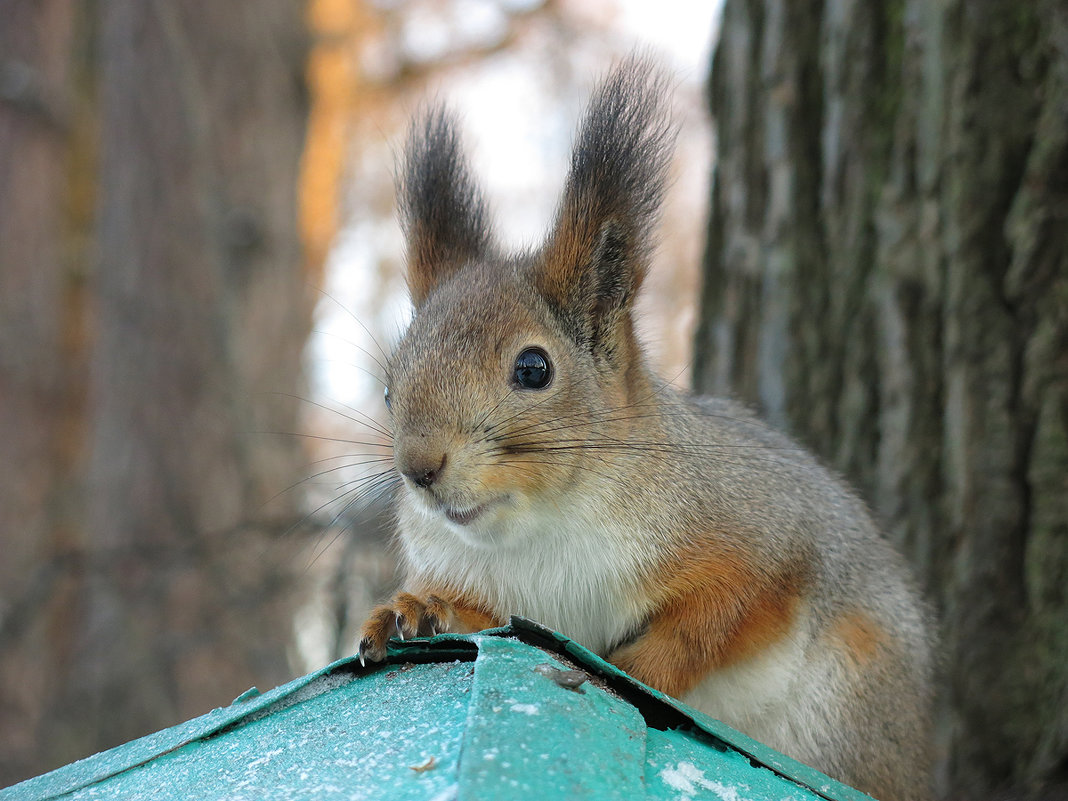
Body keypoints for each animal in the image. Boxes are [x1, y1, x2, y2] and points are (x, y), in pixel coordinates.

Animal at [358, 57, 935, 801]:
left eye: (534, 368)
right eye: (390, 384)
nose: (420, 468)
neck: (543, 528)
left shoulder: (760, 535)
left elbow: (720, 613)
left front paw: (632, 671)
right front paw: (419, 609)